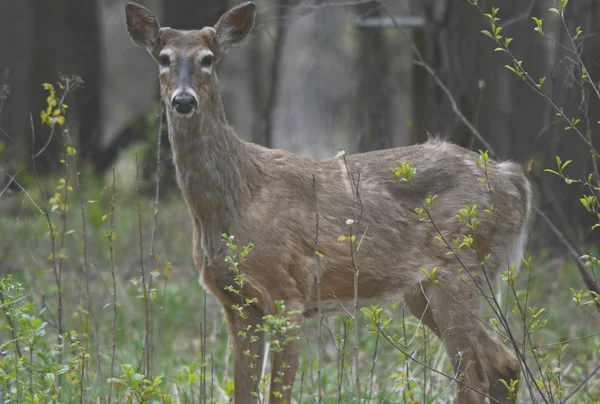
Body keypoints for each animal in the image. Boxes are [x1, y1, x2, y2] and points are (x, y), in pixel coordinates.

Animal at [125, 1, 528, 402]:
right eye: (163, 58)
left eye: (208, 59)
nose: (183, 100)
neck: (237, 199)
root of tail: (513, 178)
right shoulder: (237, 303)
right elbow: (244, 393)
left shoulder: (288, 294)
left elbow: (278, 394)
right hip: (424, 292)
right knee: (505, 365)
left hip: (459, 270)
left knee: (475, 380)